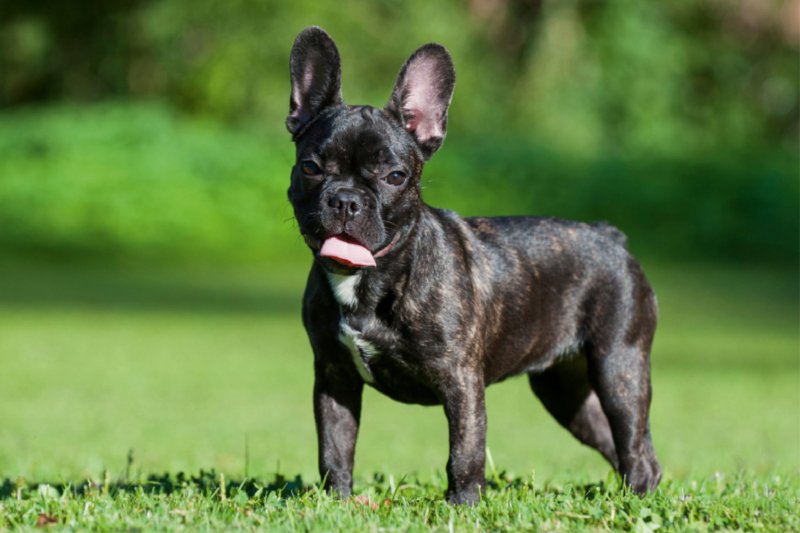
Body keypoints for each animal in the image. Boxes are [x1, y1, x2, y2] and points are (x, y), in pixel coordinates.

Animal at [288, 27, 664, 504]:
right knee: (617, 442)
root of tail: (610, 235)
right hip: (564, 391)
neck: (373, 280)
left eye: (395, 177)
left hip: (619, 367)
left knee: (633, 444)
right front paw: (336, 503)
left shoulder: (461, 382)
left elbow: (464, 452)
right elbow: (335, 447)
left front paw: (462, 506)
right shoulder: (334, 377)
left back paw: (639, 500)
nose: (346, 200)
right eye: (310, 167)